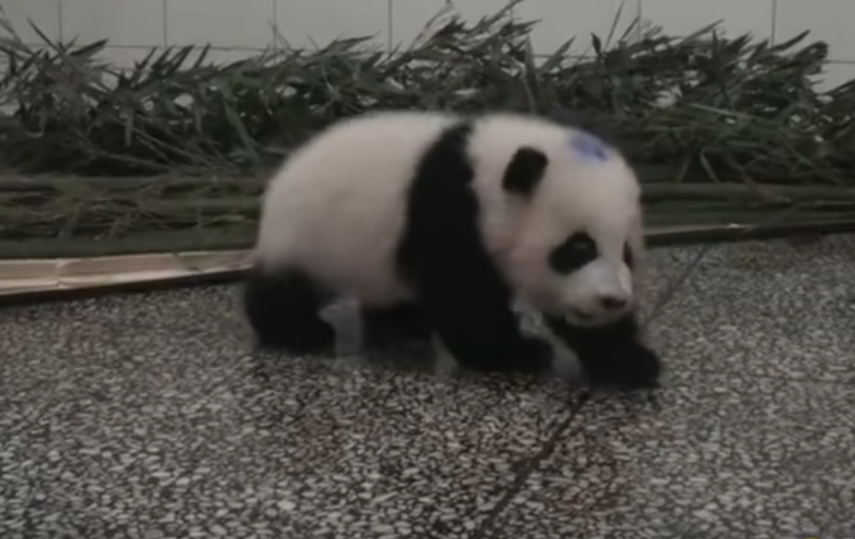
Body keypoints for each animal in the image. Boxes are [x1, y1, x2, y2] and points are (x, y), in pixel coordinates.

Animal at [243, 110, 662, 390]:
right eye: (578, 249)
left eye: (627, 253)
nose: (611, 300)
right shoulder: (449, 209)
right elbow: (463, 298)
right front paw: (521, 352)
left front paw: (629, 362)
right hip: (306, 236)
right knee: (284, 289)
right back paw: (301, 331)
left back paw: (403, 324)